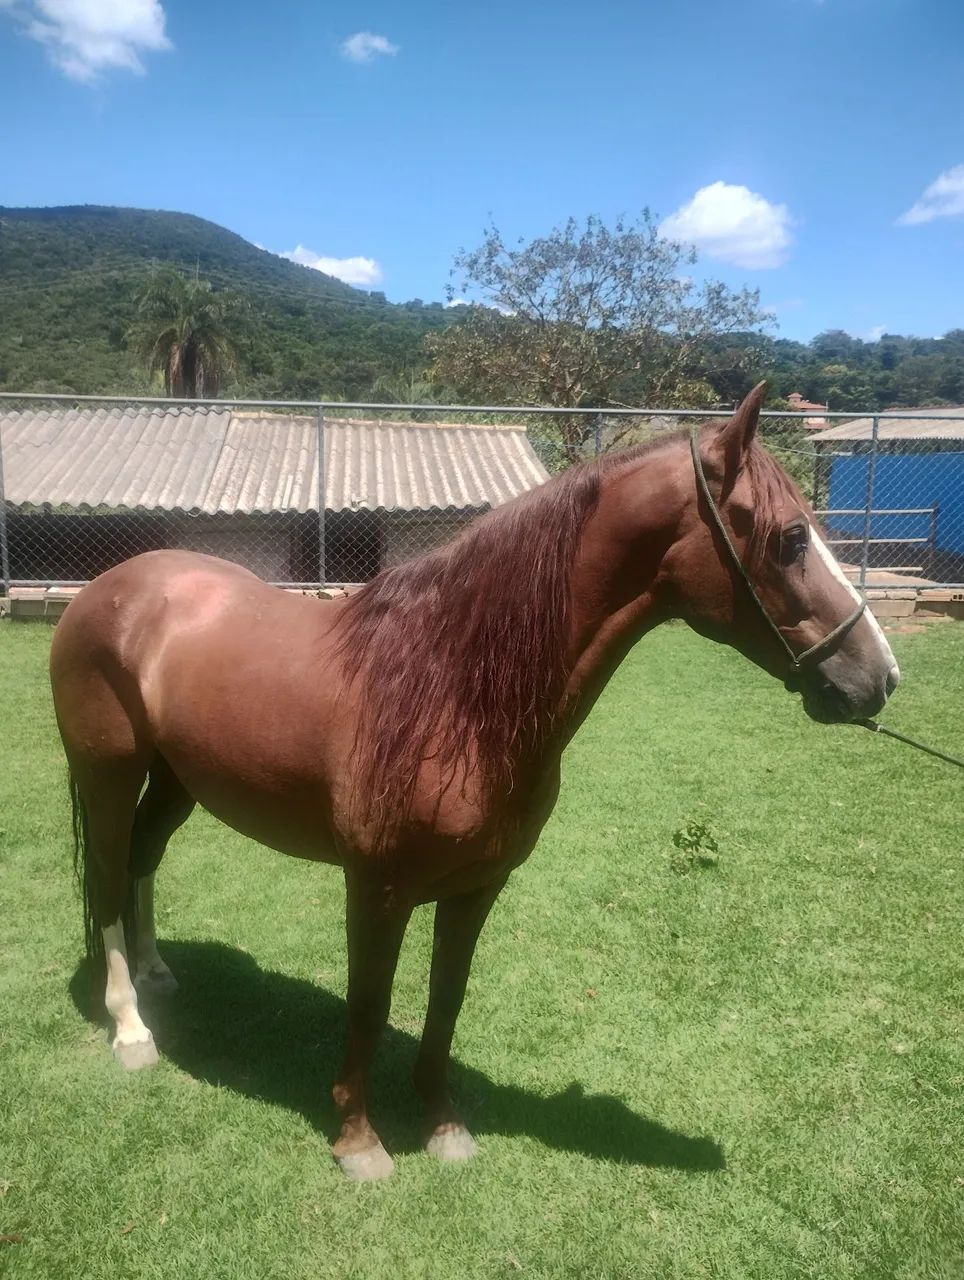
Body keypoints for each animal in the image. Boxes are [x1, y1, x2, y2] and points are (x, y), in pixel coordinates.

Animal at [50, 383, 899, 1180]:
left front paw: (443, 1124)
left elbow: (446, 998)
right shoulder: (378, 887)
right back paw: (132, 1028)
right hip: (108, 774)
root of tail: (109, 587)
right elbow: (369, 1002)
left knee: (141, 863)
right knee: (107, 878)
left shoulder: (477, 886)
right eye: (791, 538)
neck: (450, 689)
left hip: (178, 780)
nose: (880, 678)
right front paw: (358, 1140)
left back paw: (159, 974)